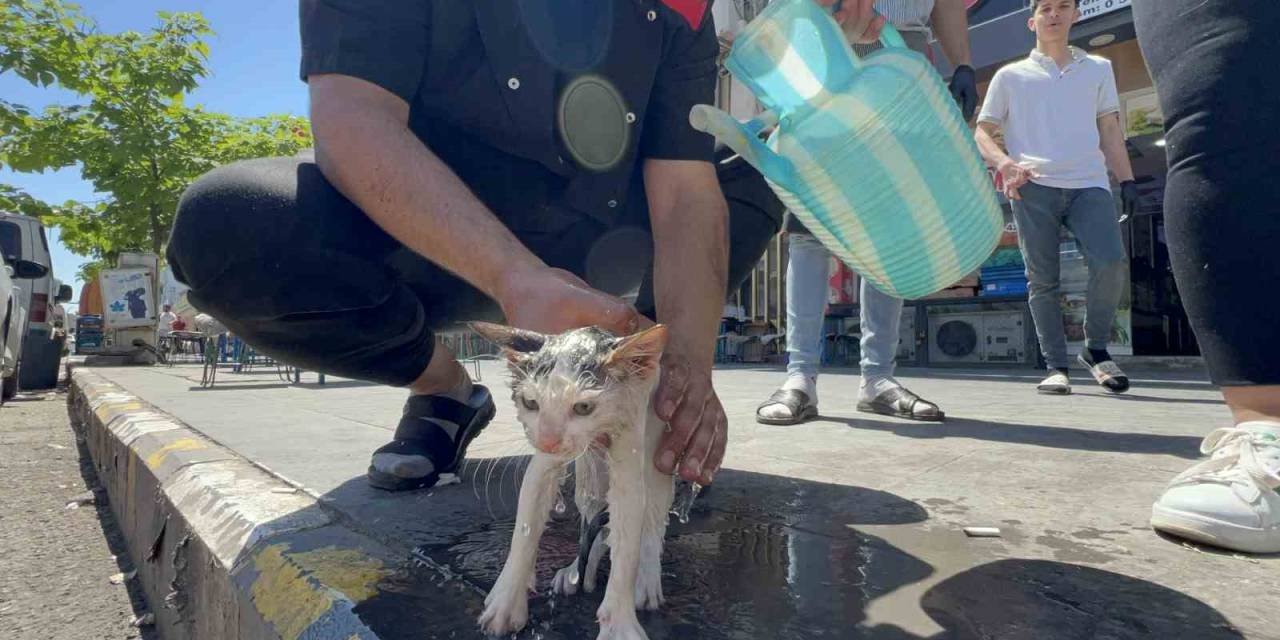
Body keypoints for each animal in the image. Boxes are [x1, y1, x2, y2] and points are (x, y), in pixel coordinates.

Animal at [471, 322, 670, 640]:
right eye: (530, 403)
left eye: (583, 407)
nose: (548, 442)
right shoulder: (541, 465)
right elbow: (524, 533)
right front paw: (505, 602)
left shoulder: (630, 434)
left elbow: (628, 546)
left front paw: (619, 624)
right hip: (590, 476)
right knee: (594, 520)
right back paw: (577, 570)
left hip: (657, 452)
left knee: (651, 523)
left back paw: (647, 580)